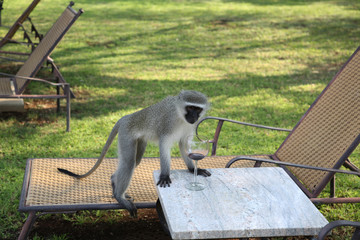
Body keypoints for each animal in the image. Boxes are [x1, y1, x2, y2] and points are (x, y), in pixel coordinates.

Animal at [57, 90, 211, 218]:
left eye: (197, 109)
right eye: (190, 108)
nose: (193, 116)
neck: (179, 115)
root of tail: (127, 117)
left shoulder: (190, 126)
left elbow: (184, 145)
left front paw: (193, 169)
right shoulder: (167, 123)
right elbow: (164, 145)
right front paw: (165, 175)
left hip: (140, 139)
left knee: (134, 161)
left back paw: (114, 183)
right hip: (126, 134)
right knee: (129, 163)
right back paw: (119, 196)